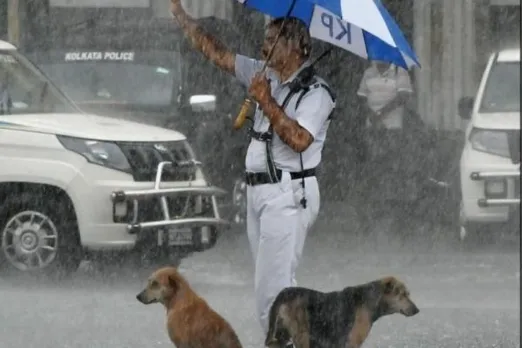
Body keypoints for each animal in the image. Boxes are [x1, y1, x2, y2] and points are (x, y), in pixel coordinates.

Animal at [264, 278, 418, 348]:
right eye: (402, 295)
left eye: (408, 294)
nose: (417, 310)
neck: (371, 300)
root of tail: (285, 293)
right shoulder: (353, 342)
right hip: (301, 336)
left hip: (282, 335)